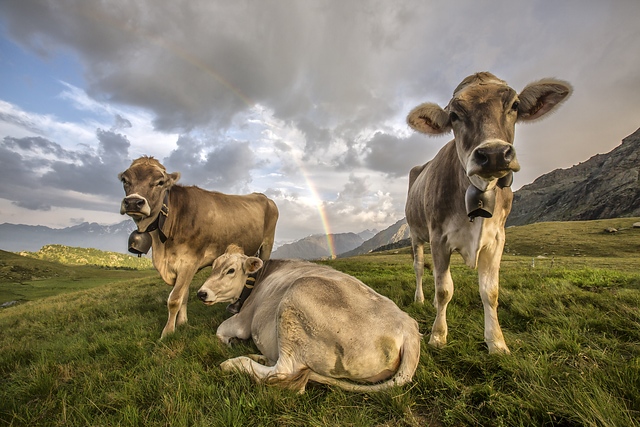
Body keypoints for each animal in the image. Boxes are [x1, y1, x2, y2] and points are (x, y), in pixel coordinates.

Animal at [118, 156, 279, 339]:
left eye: (160, 182)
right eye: (125, 180)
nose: (133, 202)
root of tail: (263, 196)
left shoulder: (189, 261)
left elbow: (174, 299)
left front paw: (167, 333)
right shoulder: (179, 265)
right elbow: (184, 294)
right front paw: (182, 323)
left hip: (267, 244)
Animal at [196, 244, 422, 393]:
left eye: (230, 270)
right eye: (213, 266)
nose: (201, 293)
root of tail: (408, 325)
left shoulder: (243, 321)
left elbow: (220, 331)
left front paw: (231, 342)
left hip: (296, 296)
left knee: (284, 371)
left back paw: (234, 363)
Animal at [405, 72, 572, 354]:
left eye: (515, 105)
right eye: (454, 115)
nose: (494, 154)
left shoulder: (497, 239)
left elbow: (490, 292)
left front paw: (496, 341)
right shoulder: (439, 238)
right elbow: (444, 289)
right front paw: (438, 335)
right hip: (417, 234)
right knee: (419, 268)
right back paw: (420, 299)